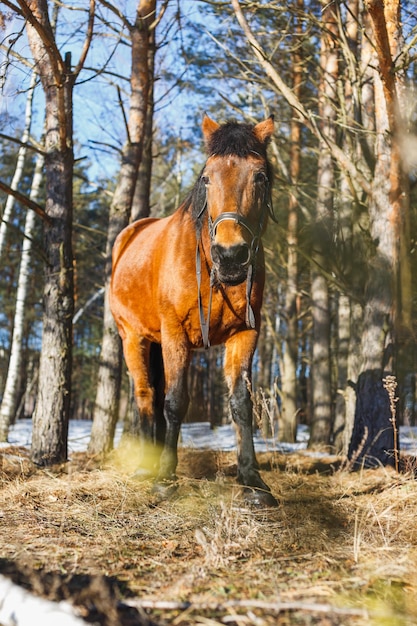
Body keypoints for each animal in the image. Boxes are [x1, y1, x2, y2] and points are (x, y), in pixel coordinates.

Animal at [109, 113, 276, 508]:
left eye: (260, 176)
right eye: (206, 177)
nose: (230, 255)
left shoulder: (247, 334)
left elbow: (241, 403)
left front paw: (252, 480)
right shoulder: (175, 333)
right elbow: (174, 401)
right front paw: (165, 478)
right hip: (133, 338)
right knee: (145, 396)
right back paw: (146, 467)